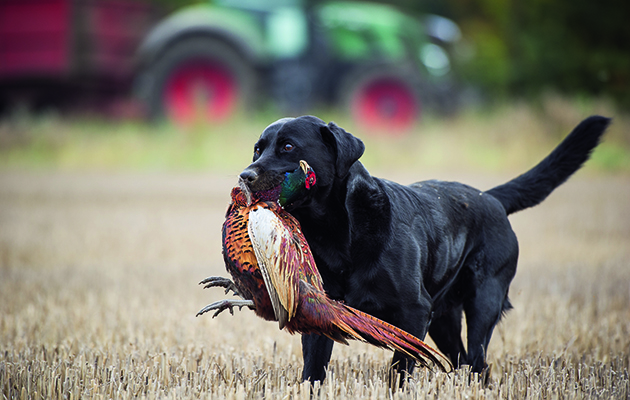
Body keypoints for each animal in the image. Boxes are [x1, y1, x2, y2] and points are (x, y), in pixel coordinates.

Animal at [238, 114, 612, 382]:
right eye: (257, 149)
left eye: (288, 147)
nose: (245, 176)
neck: (337, 235)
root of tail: (490, 197)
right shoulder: (321, 312)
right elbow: (313, 370)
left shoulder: (414, 312)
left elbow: (400, 369)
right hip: (444, 318)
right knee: (465, 362)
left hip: (483, 303)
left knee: (478, 361)